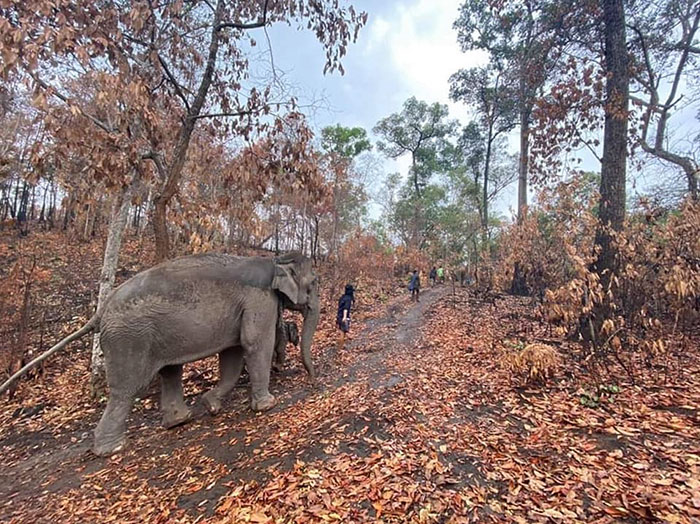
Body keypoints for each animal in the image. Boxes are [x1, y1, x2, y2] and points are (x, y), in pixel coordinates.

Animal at [0, 252, 320, 457]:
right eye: (314, 283)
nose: (314, 378)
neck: (274, 260)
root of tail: (102, 311)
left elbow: (232, 353)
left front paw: (211, 405)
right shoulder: (259, 299)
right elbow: (254, 344)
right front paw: (266, 405)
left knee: (169, 371)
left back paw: (179, 421)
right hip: (129, 338)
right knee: (126, 390)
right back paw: (111, 449)